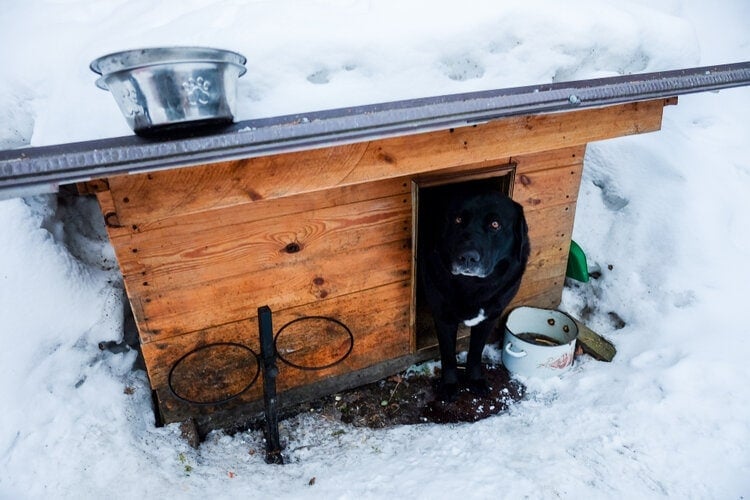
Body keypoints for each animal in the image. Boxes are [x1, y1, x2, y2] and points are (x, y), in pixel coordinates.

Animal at [420, 184, 532, 402]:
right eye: (457, 220)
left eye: (495, 224)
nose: (468, 258)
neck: (471, 285)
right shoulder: (443, 317)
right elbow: (448, 354)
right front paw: (449, 384)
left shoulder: (490, 317)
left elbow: (476, 351)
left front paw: (475, 379)